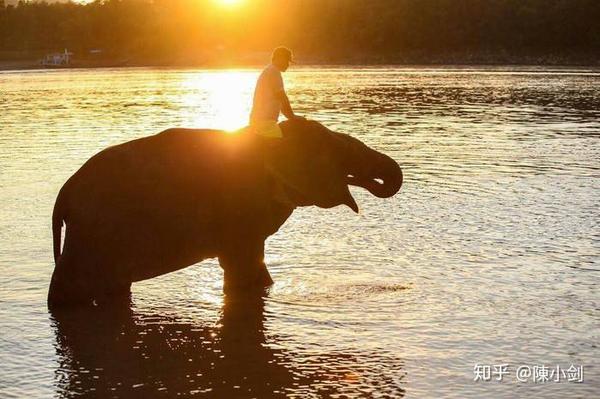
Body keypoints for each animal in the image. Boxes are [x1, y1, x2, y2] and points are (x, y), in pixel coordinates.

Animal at [48, 119, 404, 306]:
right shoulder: (240, 207)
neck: (267, 138)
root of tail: (63, 195)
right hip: (92, 235)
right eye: (336, 152)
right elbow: (243, 266)